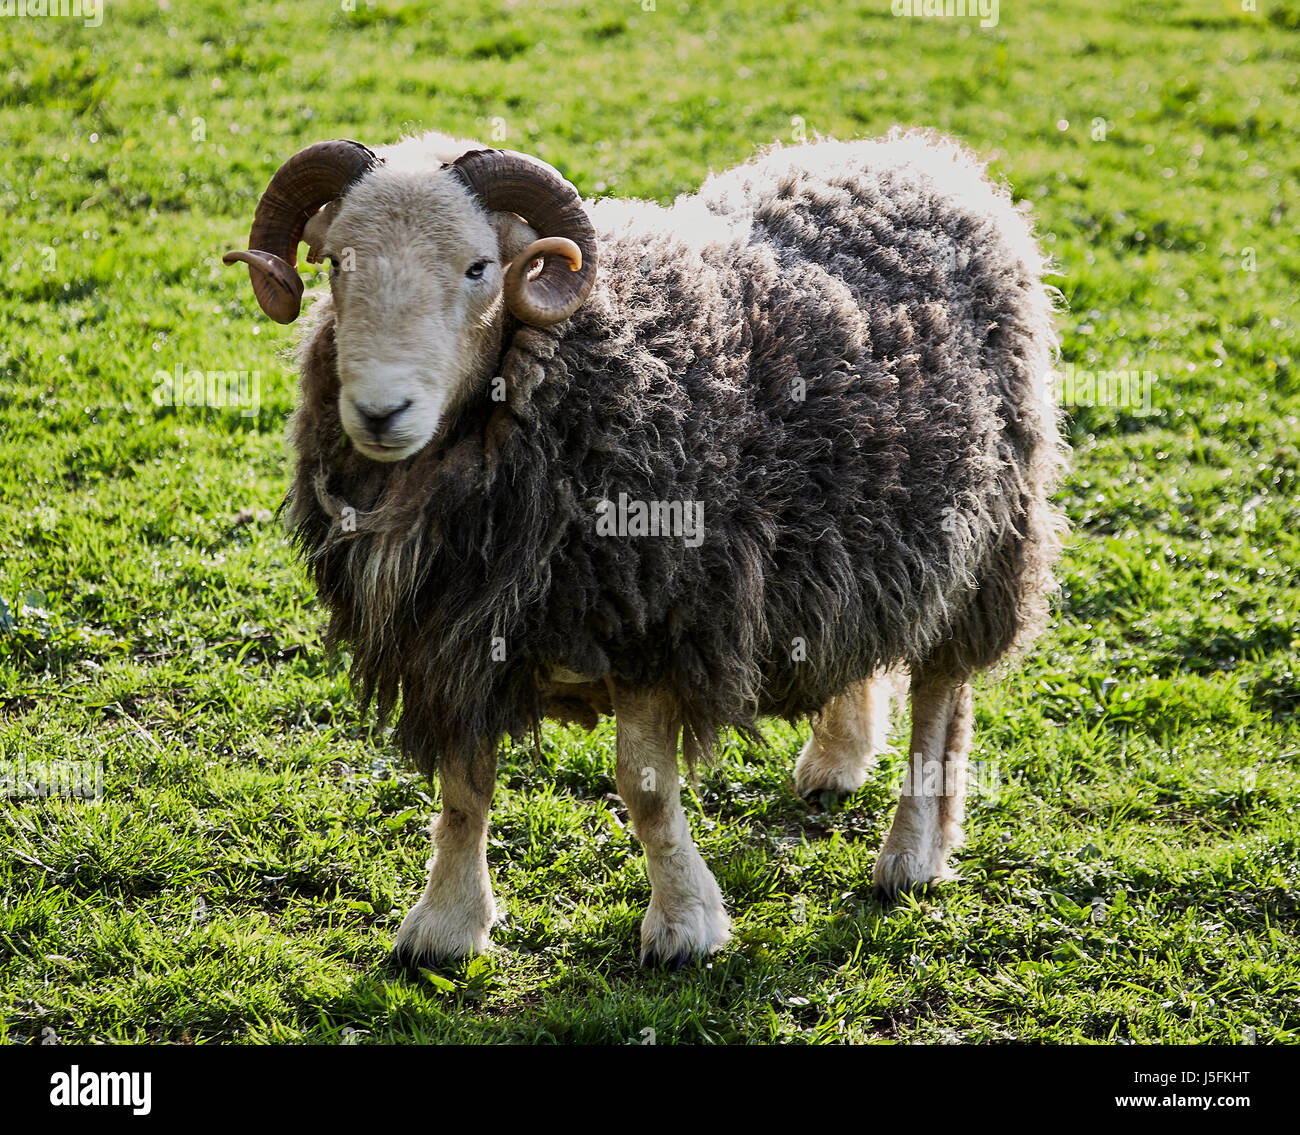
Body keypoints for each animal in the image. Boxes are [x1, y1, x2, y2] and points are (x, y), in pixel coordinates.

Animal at [223, 126, 1060, 967]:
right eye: (337, 261)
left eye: (478, 267)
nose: (380, 411)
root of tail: (923, 158)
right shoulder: (453, 642)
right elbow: (464, 787)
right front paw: (446, 925)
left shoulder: (658, 624)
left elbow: (645, 787)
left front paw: (684, 923)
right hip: (857, 540)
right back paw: (837, 759)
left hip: (984, 537)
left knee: (941, 698)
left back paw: (912, 854)